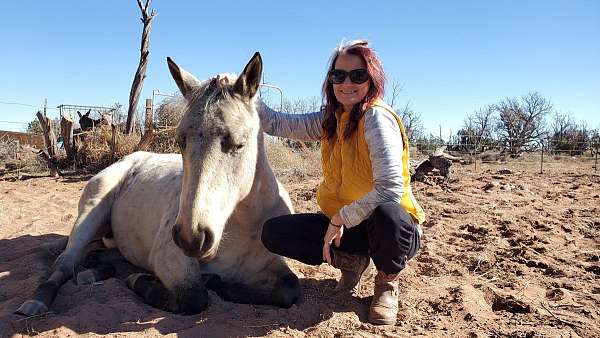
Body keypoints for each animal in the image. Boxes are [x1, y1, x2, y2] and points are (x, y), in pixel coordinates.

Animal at [17, 51, 300, 316]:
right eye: (180, 141)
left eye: (239, 144)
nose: (191, 238)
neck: (244, 225)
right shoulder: (171, 261)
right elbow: (193, 297)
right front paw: (141, 281)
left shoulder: (274, 267)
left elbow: (290, 289)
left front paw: (217, 283)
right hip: (89, 217)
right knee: (65, 263)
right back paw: (36, 302)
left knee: (96, 257)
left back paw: (94, 272)